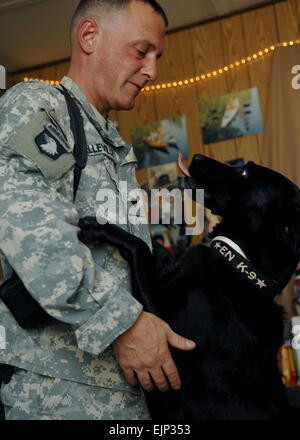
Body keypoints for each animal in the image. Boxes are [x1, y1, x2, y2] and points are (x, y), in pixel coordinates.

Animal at [79, 155, 300, 420]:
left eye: (246, 172)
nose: (197, 157)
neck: (240, 264)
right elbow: (158, 253)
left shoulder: (162, 339)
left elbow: (139, 248)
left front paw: (103, 228)